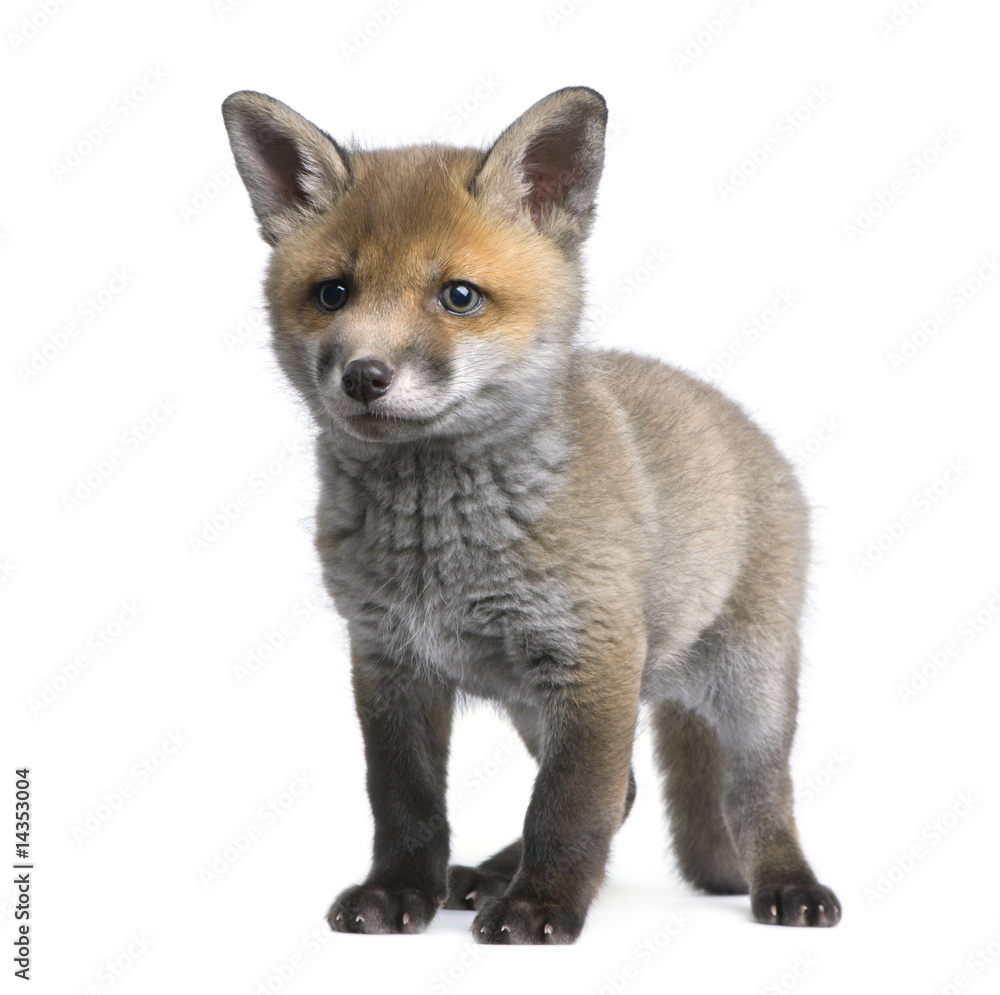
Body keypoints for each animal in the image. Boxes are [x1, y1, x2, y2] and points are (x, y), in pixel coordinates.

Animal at [221, 85, 841, 944]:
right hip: (529, 703)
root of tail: (734, 414)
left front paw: (543, 904)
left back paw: (786, 883)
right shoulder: (388, 660)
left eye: (458, 296)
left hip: (749, 682)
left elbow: (568, 804)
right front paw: (400, 890)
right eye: (333, 293)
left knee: (757, 795)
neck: (440, 544)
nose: (364, 376)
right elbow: (406, 803)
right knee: (629, 791)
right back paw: (487, 873)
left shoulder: (594, 656)